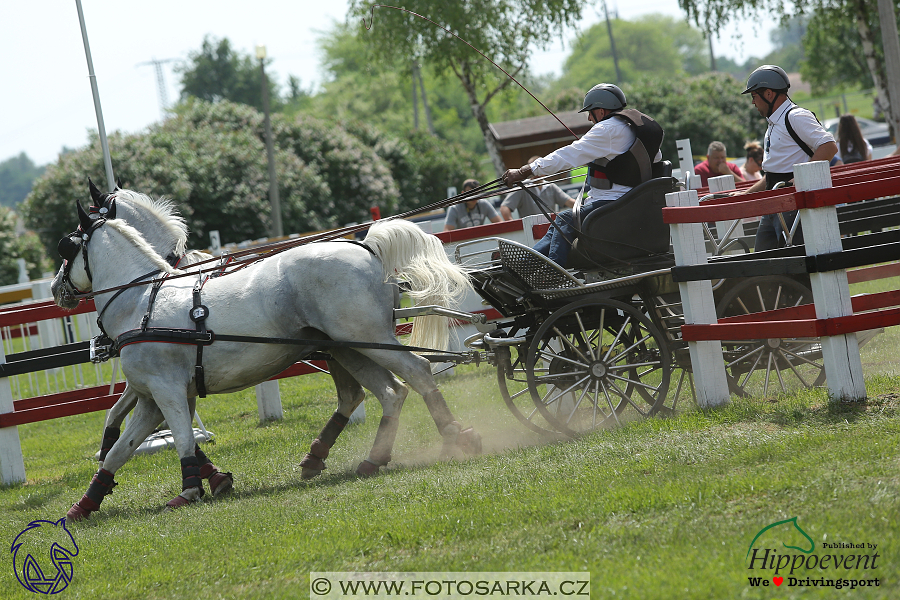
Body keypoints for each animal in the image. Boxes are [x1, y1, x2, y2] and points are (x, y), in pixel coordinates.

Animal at [52, 185, 482, 524]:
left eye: (66, 246)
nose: (57, 289)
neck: (143, 300)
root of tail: (366, 247)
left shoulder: (167, 391)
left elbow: (182, 439)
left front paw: (191, 489)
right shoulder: (151, 398)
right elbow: (118, 451)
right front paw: (82, 506)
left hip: (368, 338)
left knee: (418, 371)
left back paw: (455, 435)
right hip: (350, 348)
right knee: (389, 392)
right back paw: (369, 460)